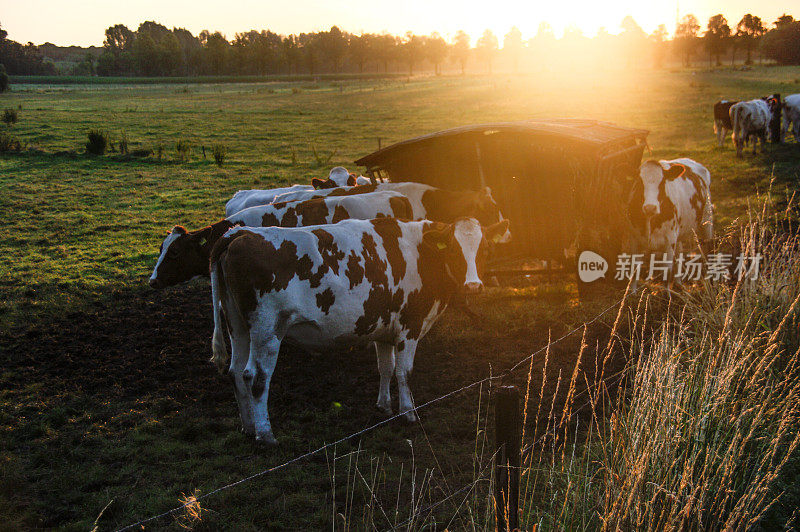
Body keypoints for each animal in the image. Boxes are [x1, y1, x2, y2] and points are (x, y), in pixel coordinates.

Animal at [209, 214, 510, 442]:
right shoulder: (409, 326)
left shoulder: (384, 329)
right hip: (267, 331)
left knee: (236, 372)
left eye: (484, 250)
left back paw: (249, 427)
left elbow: (386, 368)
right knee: (256, 377)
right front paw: (409, 413)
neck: (422, 253)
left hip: (238, 326)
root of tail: (239, 234)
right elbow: (404, 372)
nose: (473, 286)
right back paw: (265, 433)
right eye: (455, 250)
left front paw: (384, 406)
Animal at [624, 158, 712, 286]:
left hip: (707, 221)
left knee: (708, 249)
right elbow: (634, 271)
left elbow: (667, 273)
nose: (650, 208)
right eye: (639, 183)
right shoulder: (633, 239)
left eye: (662, 183)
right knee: (679, 253)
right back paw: (679, 283)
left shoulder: (669, 242)